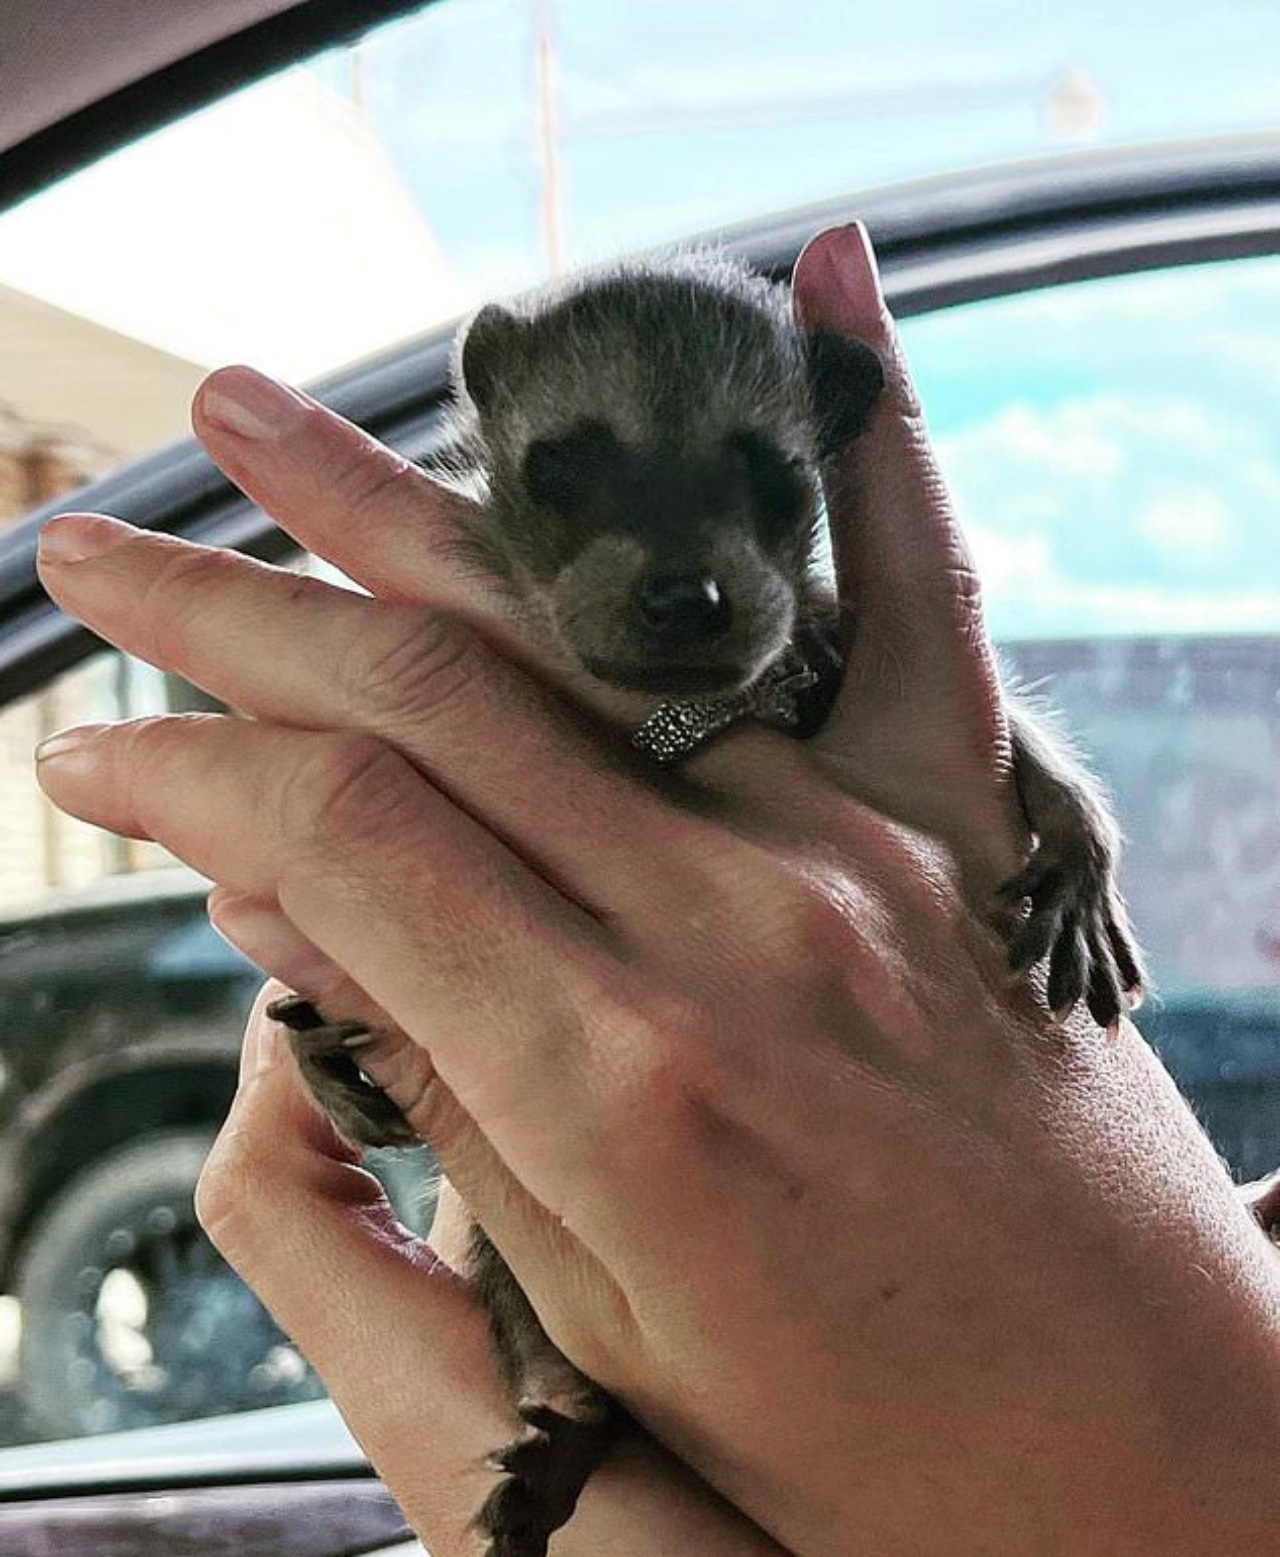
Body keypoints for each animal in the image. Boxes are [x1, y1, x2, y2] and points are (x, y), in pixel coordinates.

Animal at [267, 252, 1139, 1557]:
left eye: (770, 475)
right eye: (565, 465)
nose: (684, 599)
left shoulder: (821, 624)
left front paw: (1069, 813)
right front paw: (301, 1018)